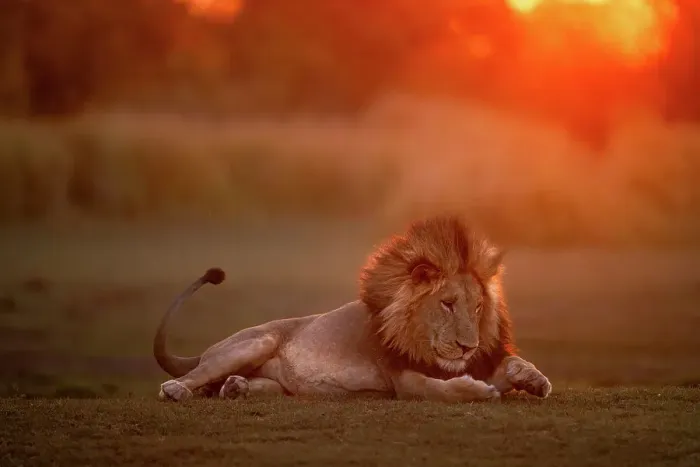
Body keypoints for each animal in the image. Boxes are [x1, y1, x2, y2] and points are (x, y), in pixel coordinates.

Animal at [154, 215, 552, 402]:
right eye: (448, 305)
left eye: (479, 307)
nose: (468, 347)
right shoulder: (402, 378)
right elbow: (436, 390)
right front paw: (478, 391)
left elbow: (513, 364)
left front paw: (534, 379)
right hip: (255, 342)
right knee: (190, 378)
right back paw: (178, 390)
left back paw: (236, 388)